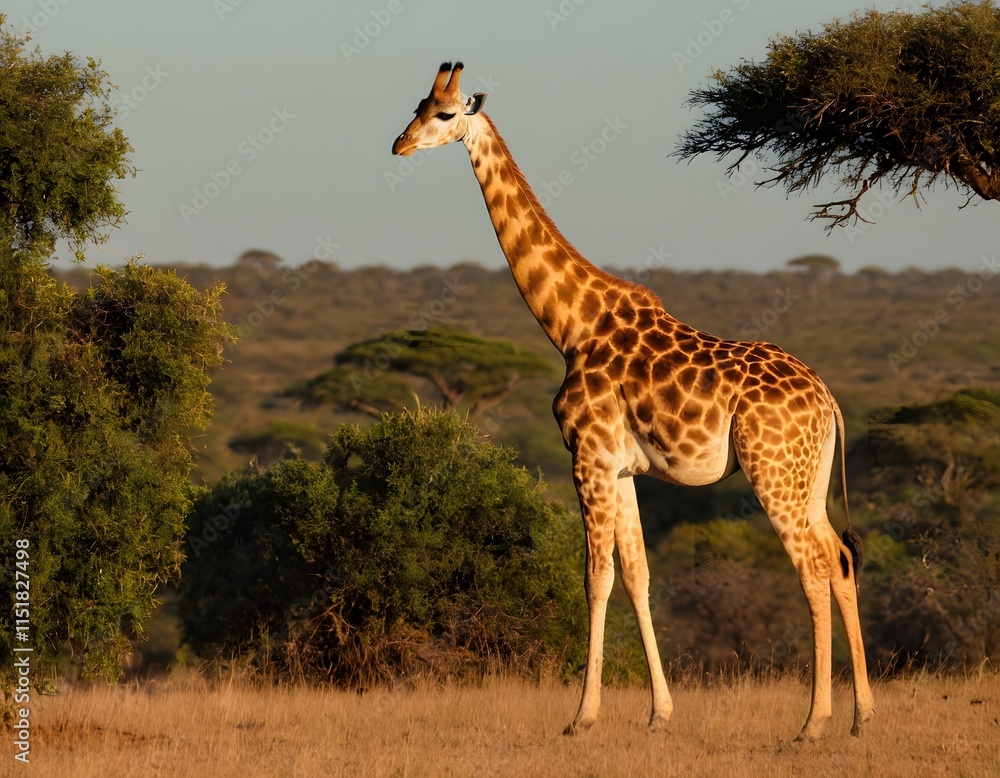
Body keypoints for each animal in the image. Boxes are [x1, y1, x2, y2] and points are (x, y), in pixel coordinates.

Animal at [391, 62, 874, 740]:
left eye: (442, 114)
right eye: (415, 105)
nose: (399, 145)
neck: (570, 323)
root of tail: (828, 399)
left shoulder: (587, 456)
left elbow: (596, 578)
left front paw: (582, 716)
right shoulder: (621, 468)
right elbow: (639, 576)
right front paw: (659, 713)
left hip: (772, 472)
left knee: (812, 567)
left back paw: (813, 722)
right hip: (810, 476)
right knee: (841, 558)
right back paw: (862, 716)